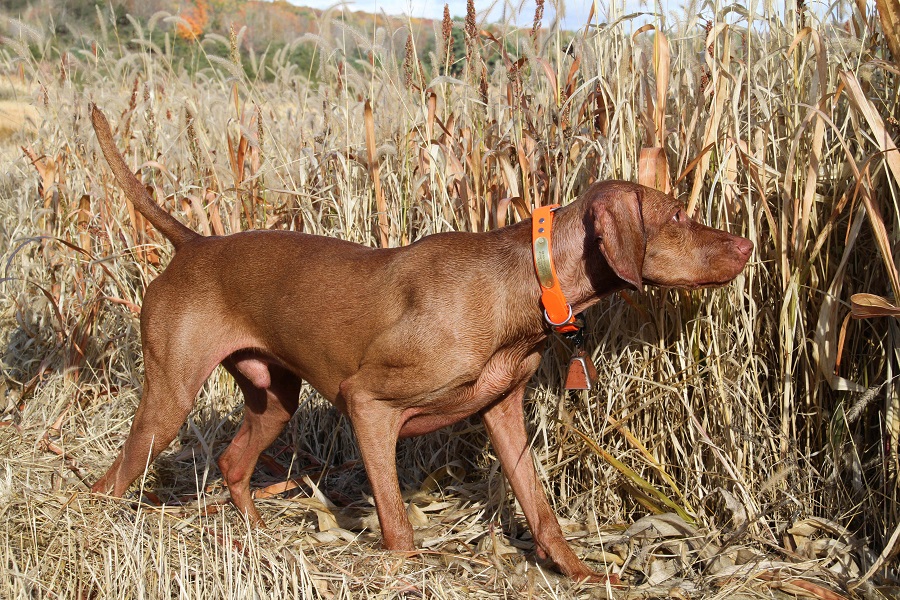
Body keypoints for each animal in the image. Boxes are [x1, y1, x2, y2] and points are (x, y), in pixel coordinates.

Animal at [89, 104, 752, 580]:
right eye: (677, 217)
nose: (747, 245)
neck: (519, 282)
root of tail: (195, 244)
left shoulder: (502, 412)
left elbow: (541, 511)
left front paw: (584, 573)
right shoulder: (368, 404)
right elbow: (396, 521)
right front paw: (407, 567)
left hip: (273, 399)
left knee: (231, 462)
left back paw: (255, 535)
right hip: (170, 398)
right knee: (111, 479)